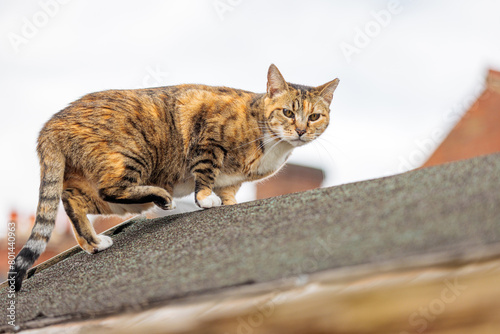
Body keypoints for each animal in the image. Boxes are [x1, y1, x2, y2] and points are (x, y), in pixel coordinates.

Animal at [11, 64, 340, 290]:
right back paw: (162, 198)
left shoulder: (233, 180)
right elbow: (206, 173)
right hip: (133, 155)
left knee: (72, 199)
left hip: (105, 193)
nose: (301, 130)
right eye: (287, 112)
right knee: (109, 189)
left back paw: (93, 242)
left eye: (314, 117)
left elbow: (229, 191)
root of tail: (51, 124)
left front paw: (229, 204)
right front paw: (206, 200)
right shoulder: (208, 138)